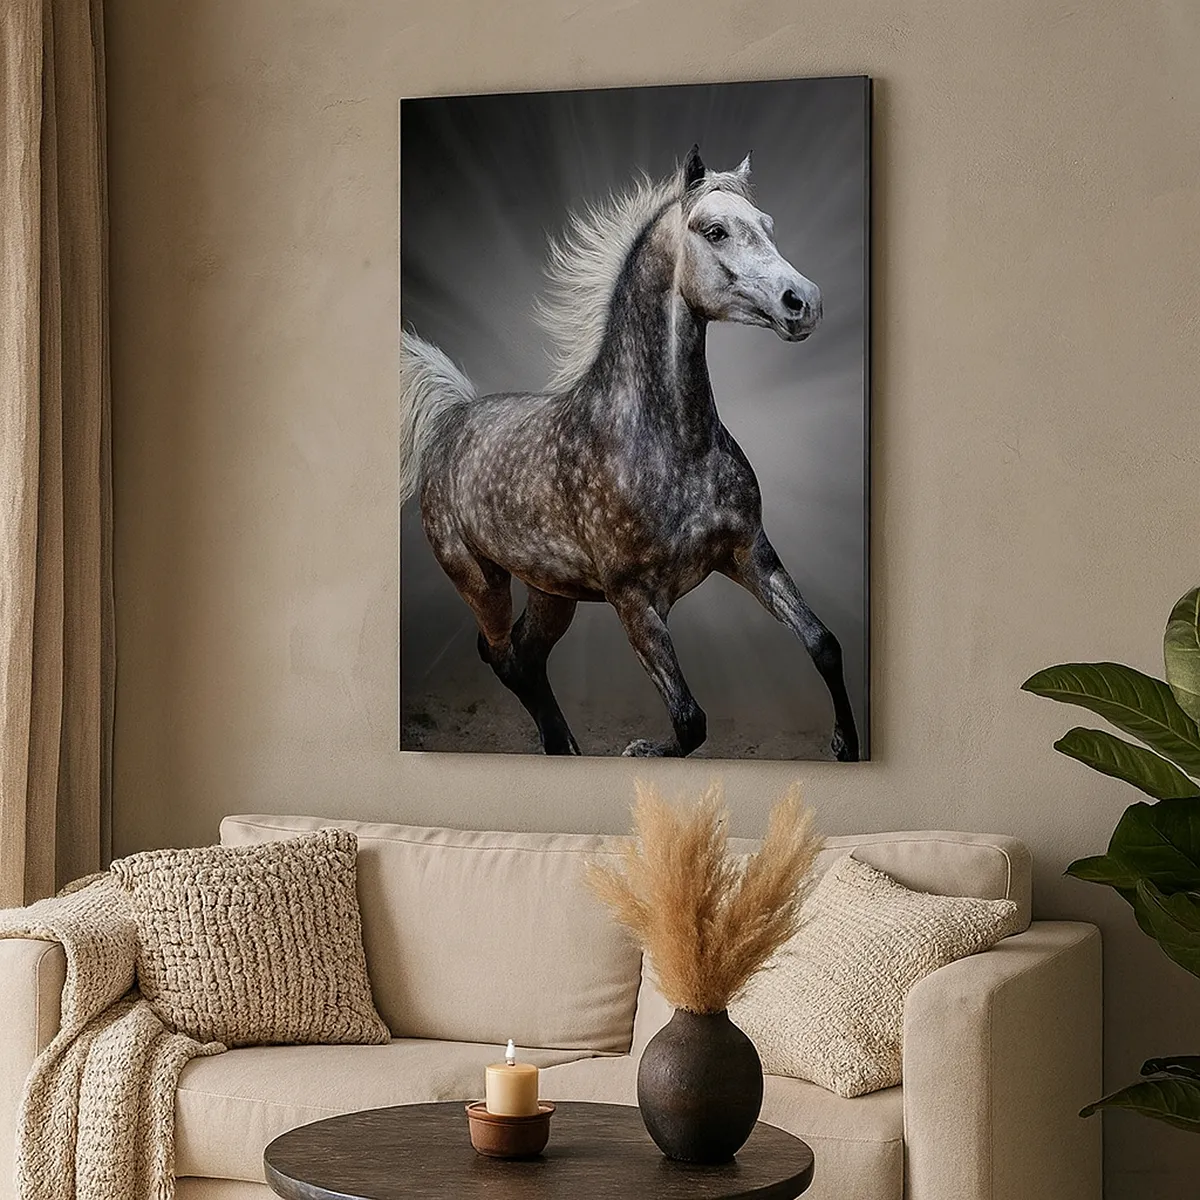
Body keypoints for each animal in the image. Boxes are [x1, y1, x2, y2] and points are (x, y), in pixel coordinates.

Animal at [399, 146, 861, 761]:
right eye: (715, 231)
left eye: (767, 226)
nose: (804, 302)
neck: (671, 446)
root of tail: (452, 419)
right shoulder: (633, 599)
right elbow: (690, 722)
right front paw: (640, 750)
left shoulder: (750, 554)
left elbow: (823, 643)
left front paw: (845, 744)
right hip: (480, 580)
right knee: (499, 653)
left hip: (552, 591)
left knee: (525, 657)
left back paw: (565, 746)